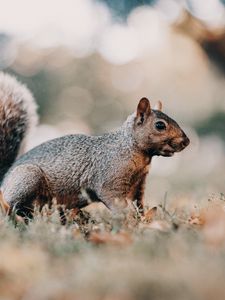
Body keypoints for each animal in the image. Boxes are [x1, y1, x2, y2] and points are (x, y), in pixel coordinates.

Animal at [0, 72, 190, 219]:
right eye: (160, 125)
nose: (186, 141)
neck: (134, 151)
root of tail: (3, 179)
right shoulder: (110, 179)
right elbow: (114, 200)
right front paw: (128, 219)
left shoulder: (138, 185)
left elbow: (139, 204)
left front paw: (142, 219)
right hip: (28, 178)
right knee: (12, 205)